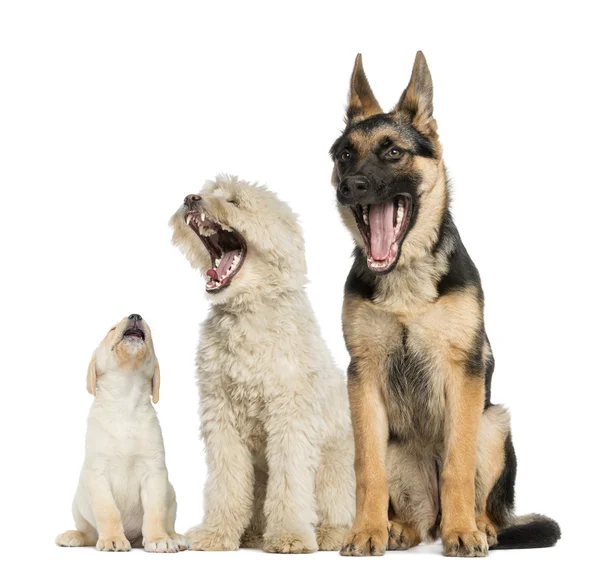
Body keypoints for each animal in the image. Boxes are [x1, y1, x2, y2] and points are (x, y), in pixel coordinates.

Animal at [56, 316, 188, 552]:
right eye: (111, 329)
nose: (135, 316)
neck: (125, 400)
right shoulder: (97, 474)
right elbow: (107, 511)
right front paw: (112, 538)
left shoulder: (154, 473)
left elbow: (155, 512)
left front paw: (158, 539)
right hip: (78, 503)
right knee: (88, 533)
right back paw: (73, 536)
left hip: (171, 494)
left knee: (168, 521)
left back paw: (175, 537)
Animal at [170, 175, 356, 556]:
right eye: (206, 192)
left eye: (235, 201)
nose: (191, 199)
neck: (248, 313)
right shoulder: (221, 418)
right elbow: (225, 483)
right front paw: (216, 534)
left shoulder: (291, 420)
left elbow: (289, 483)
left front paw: (290, 536)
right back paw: (253, 534)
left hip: (334, 468)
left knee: (339, 511)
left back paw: (328, 534)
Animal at [330, 51, 560, 556]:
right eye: (343, 155)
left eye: (393, 152)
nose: (349, 186)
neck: (407, 281)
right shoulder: (364, 378)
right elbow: (366, 470)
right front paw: (367, 530)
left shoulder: (464, 372)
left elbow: (457, 464)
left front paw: (463, 532)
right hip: (398, 449)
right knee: (413, 513)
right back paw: (398, 528)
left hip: (495, 423)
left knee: (484, 498)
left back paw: (477, 525)